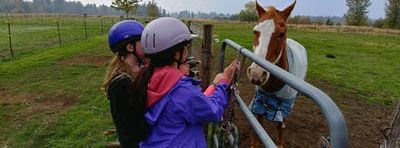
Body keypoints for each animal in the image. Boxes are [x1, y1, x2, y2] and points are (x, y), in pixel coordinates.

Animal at [245, 0, 308, 147]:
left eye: (281, 34)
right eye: (255, 31)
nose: (256, 74)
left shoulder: (282, 105)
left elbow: (280, 125)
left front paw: (280, 143)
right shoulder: (260, 99)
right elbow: (259, 121)